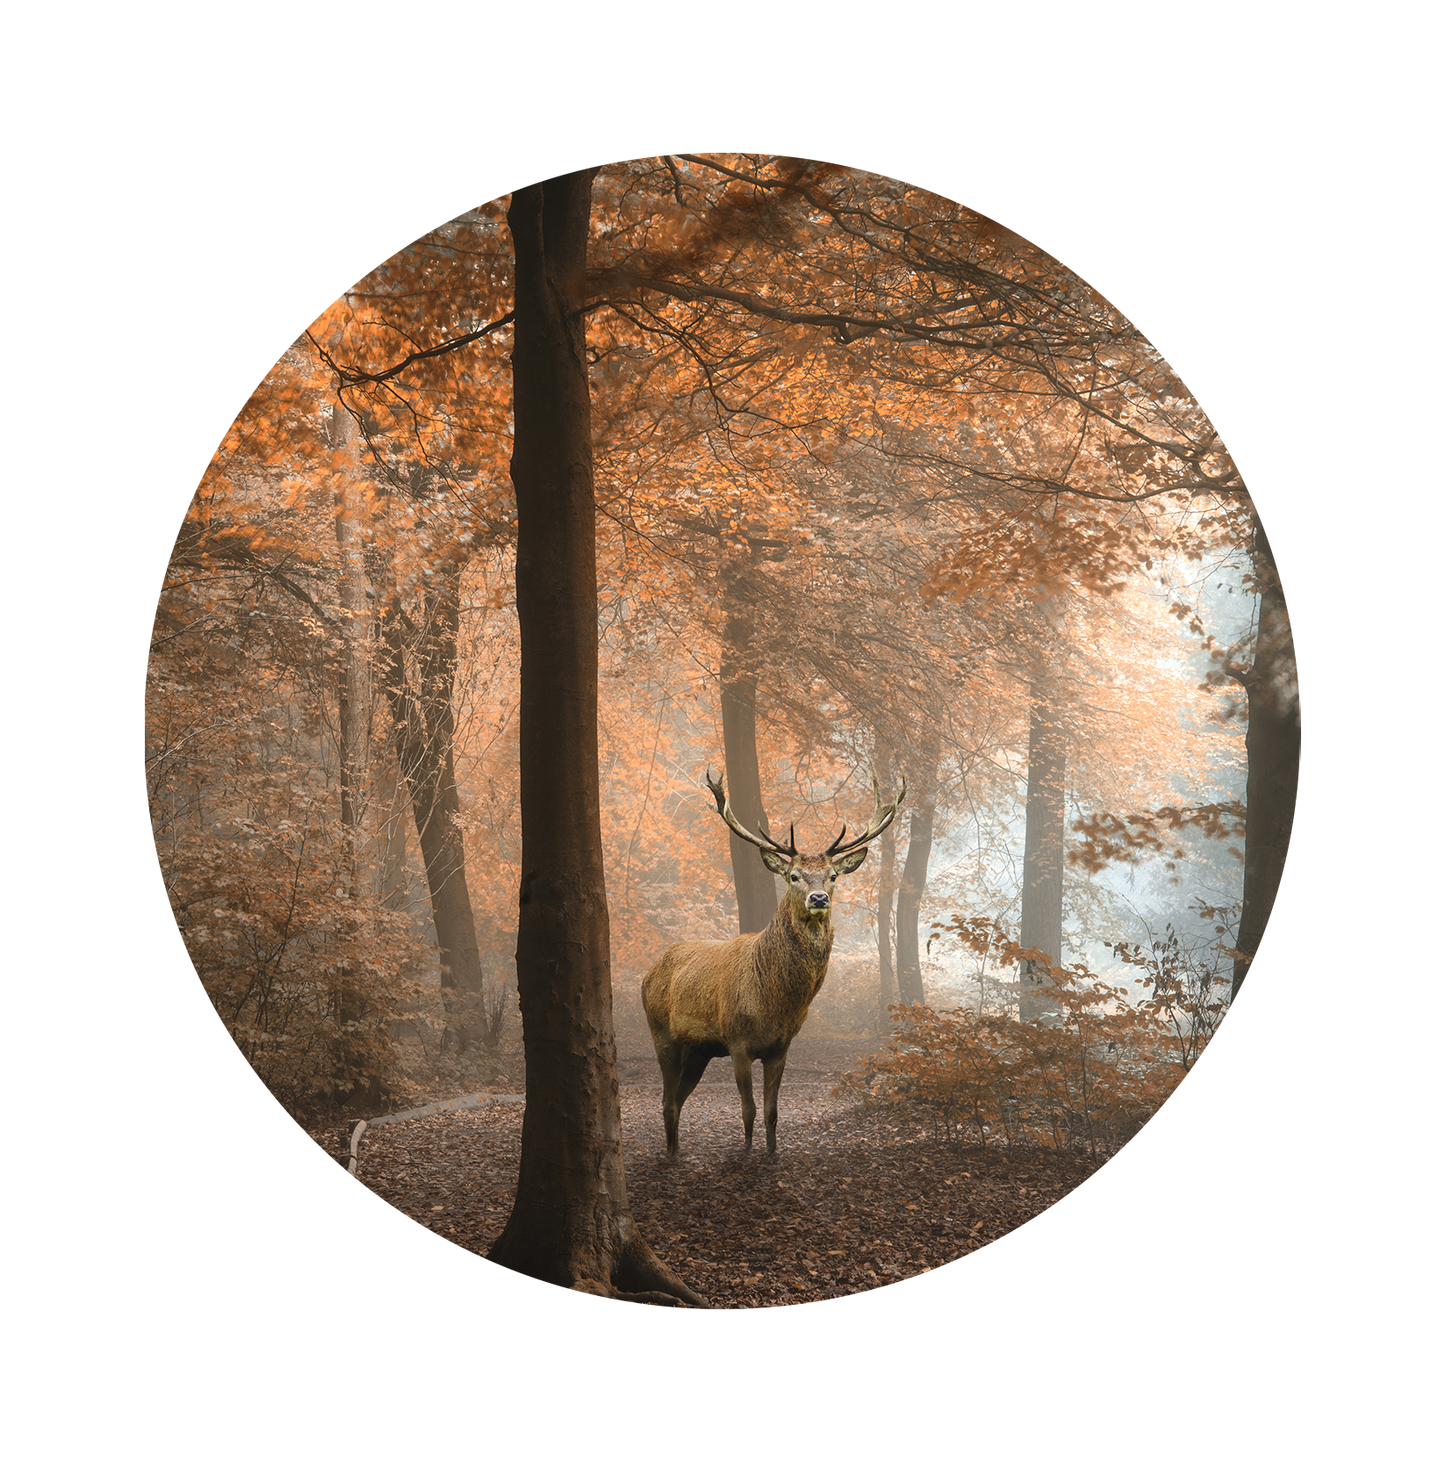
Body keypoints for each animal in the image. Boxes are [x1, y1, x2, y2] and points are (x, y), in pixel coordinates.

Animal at [641, 766, 905, 1159]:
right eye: (793, 875)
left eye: (833, 875)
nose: (819, 898)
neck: (773, 1002)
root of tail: (648, 971)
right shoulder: (737, 1041)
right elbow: (748, 1110)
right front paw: (747, 1154)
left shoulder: (781, 1046)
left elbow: (772, 1112)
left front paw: (771, 1154)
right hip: (662, 1034)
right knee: (666, 1100)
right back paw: (672, 1156)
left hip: (699, 1050)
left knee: (677, 1098)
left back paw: (676, 1150)